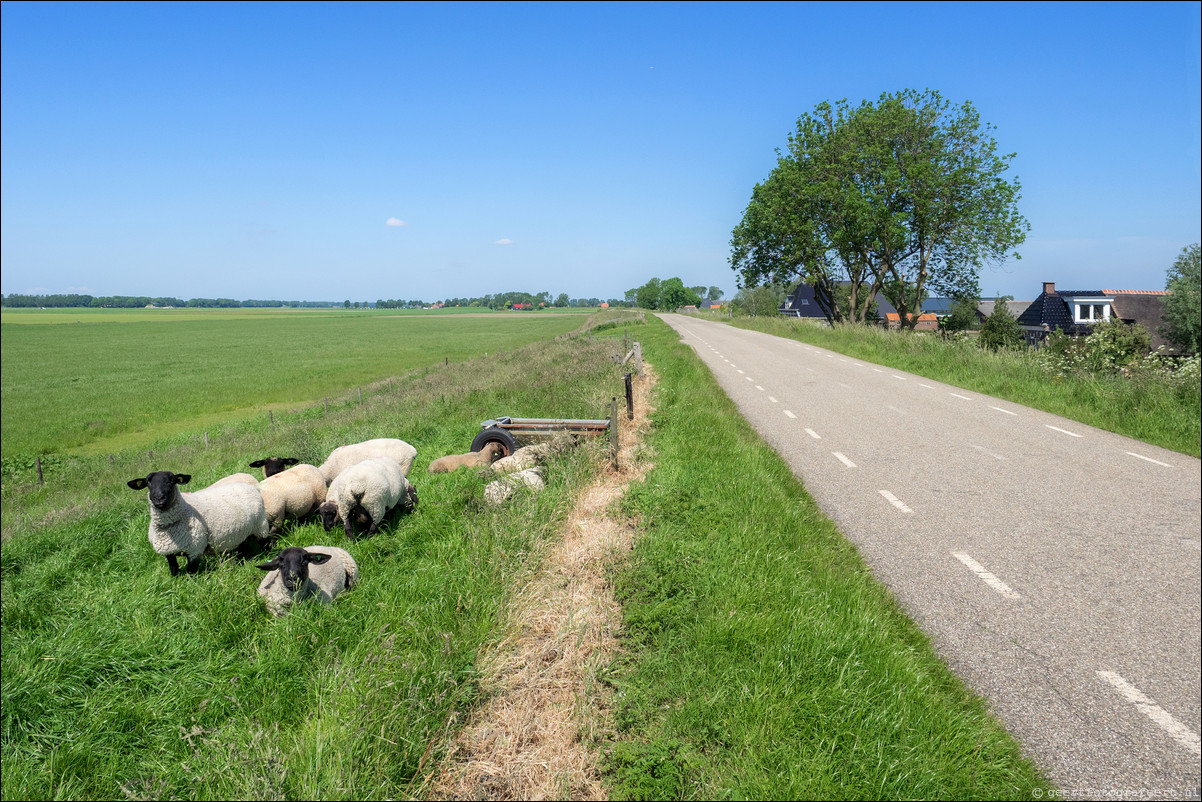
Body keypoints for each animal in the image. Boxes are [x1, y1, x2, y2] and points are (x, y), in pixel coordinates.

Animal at [128, 471, 271, 577]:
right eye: (148, 482)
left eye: (172, 480)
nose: (159, 498)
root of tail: (253, 487)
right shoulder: (169, 553)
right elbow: (174, 570)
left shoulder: (195, 550)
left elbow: (191, 573)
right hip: (241, 531)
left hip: (261, 526)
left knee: (266, 543)